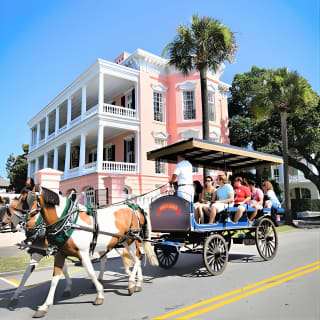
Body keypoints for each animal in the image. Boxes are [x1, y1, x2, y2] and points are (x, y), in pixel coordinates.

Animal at [16, 185, 158, 318]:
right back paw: (137, 282)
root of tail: (134, 207)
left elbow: (90, 272)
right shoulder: (60, 253)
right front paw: (44, 306)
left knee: (137, 259)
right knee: (131, 258)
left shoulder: (83, 254)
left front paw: (99, 294)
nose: (17, 224)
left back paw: (132, 284)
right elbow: (54, 279)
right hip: (122, 242)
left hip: (130, 241)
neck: (69, 222)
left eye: (25, 200)